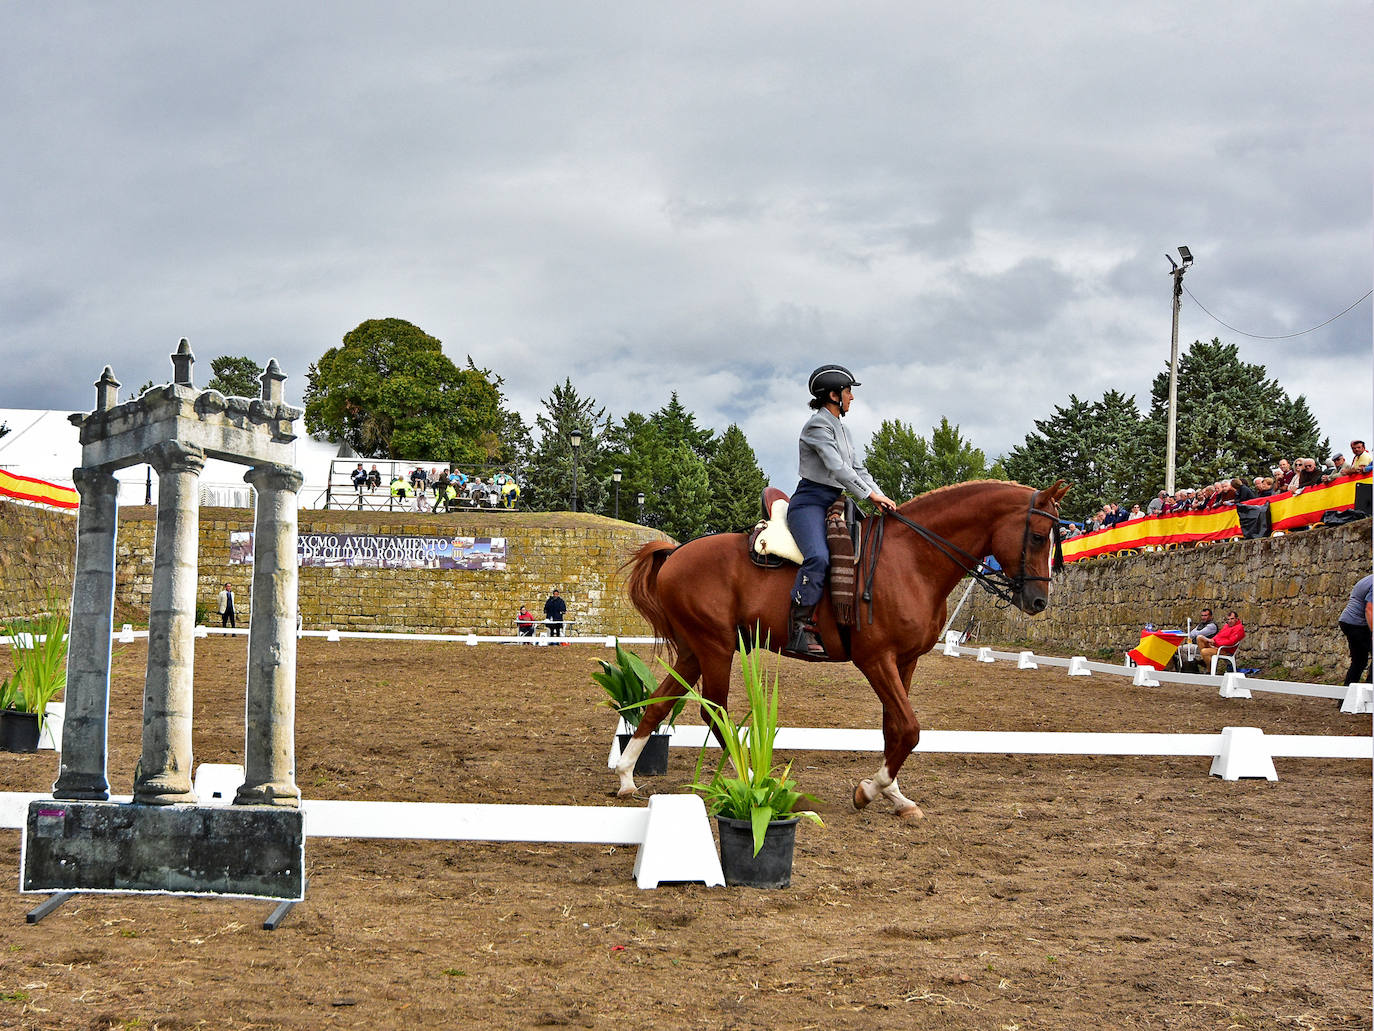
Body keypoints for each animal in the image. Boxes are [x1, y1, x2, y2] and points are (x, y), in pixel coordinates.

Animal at [615, 478, 1071, 824]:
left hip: (697, 649)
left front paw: (897, 797)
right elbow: (909, 728)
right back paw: (753, 781)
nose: (1038, 602)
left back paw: (626, 777)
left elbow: (894, 729)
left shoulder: (905, 662)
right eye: (1036, 536)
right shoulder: (876, 659)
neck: (912, 559)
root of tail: (676, 552)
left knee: (658, 704)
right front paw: (869, 790)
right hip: (716, 647)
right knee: (715, 713)